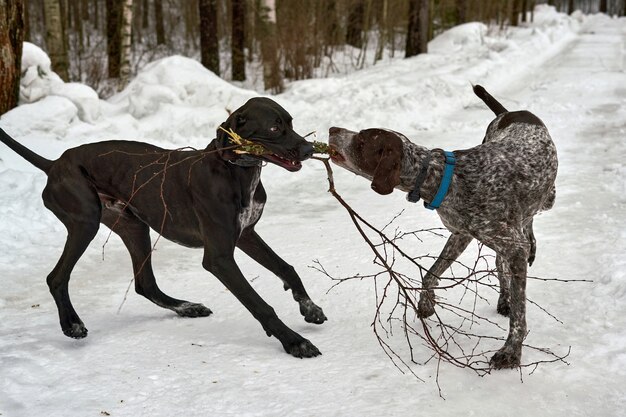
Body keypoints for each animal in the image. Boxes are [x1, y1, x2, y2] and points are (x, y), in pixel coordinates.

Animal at [0, 97, 324, 358]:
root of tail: (54, 163)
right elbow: (260, 304)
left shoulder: (246, 235)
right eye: (274, 128)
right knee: (56, 277)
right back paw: (73, 324)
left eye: (291, 122)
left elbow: (287, 269)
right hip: (85, 220)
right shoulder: (219, 258)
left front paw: (309, 308)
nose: (309, 149)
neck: (236, 172)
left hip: (133, 226)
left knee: (145, 284)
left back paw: (186, 307)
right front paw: (294, 342)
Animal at [326, 84, 556, 368]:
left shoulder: (510, 245)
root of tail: (509, 112)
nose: (332, 129)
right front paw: (426, 303)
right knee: (502, 257)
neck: (442, 176)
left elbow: (519, 316)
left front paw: (511, 351)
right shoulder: (461, 234)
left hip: (546, 200)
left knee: (531, 221)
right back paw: (505, 296)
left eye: (361, 140)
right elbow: (431, 273)